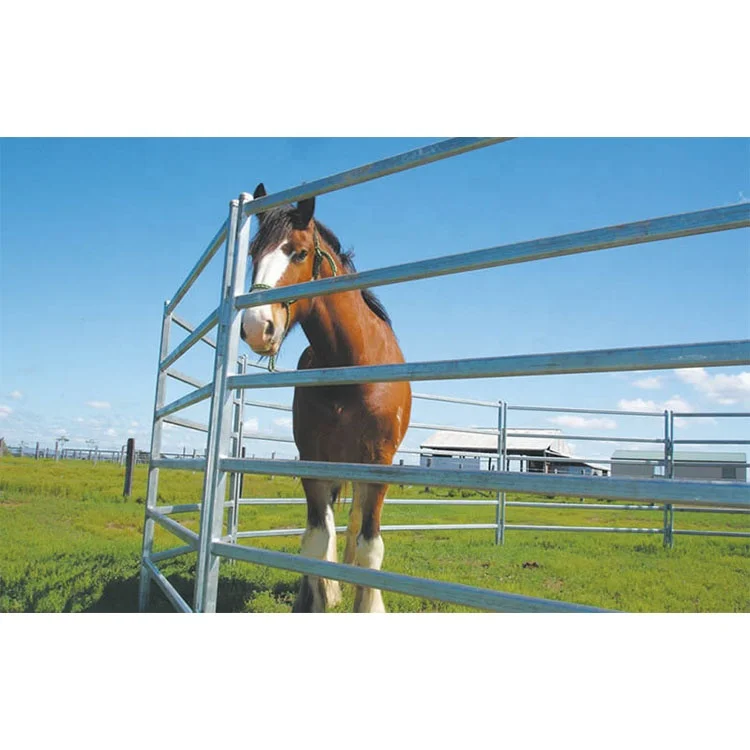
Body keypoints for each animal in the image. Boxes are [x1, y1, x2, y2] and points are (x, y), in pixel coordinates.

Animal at [240, 183, 412, 613]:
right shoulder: (313, 462)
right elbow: (317, 541)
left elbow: (369, 544)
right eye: (253, 254)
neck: (350, 366)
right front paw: (318, 597)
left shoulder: (378, 465)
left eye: (299, 252)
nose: (256, 326)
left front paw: (368, 603)